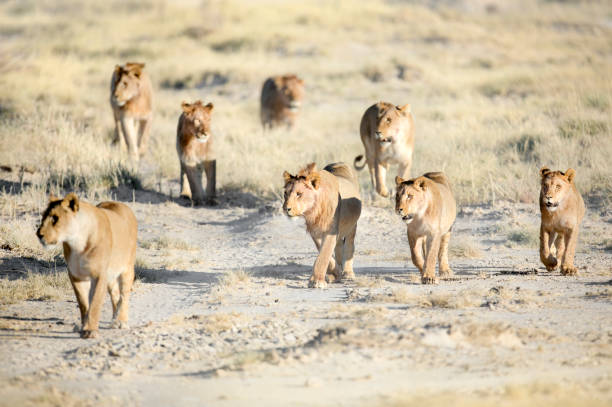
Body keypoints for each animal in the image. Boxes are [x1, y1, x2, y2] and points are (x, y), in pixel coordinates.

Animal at [35, 194, 139, 338]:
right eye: (43, 216)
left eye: (55, 218)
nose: (38, 234)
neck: (77, 243)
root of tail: (120, 204)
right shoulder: (76, 276)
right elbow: (83, 303)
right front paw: (84, 326)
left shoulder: (99, 275)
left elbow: (94, 302)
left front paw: (90, 330)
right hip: (111, 275)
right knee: (115, 293)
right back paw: (114, 319)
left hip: (127, 268)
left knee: (124, 295)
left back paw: (121, 321)